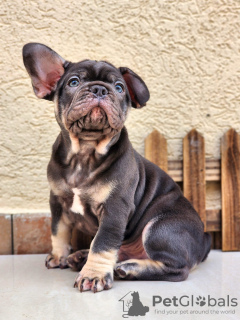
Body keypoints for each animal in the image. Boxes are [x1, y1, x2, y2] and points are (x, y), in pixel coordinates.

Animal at [22, 43, 210, 294]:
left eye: (120, 87)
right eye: (73, 82)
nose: (100, 89)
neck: (85, 153)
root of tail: (204, 243)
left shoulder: (114, 208)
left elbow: (103, 243)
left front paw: (93, 275)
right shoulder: (58, 201)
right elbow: (58, 230)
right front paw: (59, 255)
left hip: (160, 227)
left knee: (178, 268)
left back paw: (128, 269)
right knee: (119, 249)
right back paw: (80, 257)